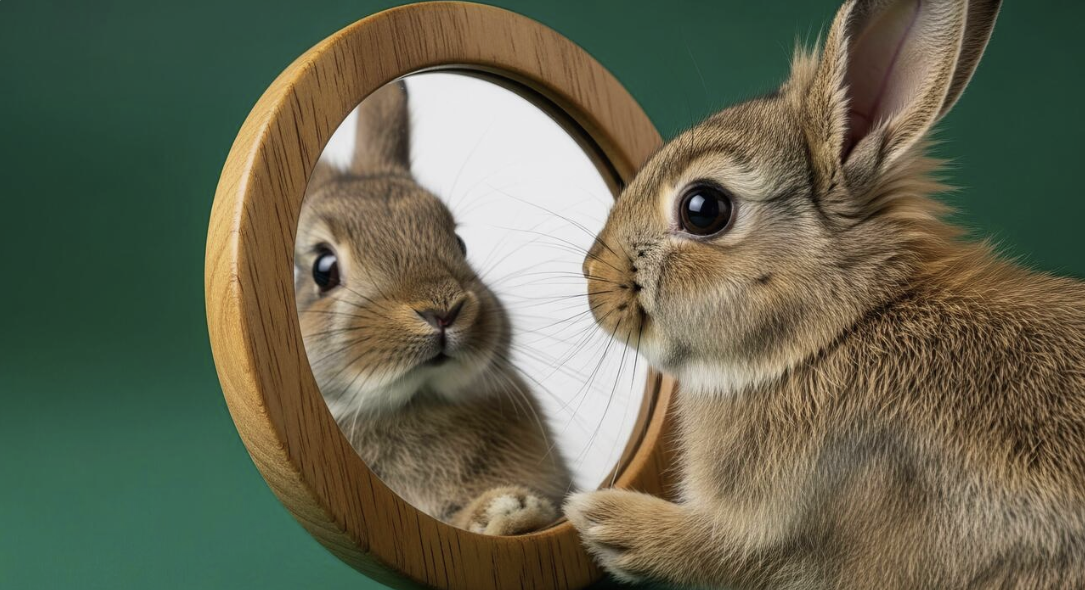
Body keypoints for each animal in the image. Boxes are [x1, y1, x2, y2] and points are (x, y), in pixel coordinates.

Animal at [294, 81, 572, 536]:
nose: (443, 311)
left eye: (460, 244)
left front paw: (509, 510)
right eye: (323, 269)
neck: (415, 403)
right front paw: (501, 510)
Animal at [564, 0, 1085, 587]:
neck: (834, 333)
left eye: (703, 209)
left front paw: (603, 519)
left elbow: (719, 551)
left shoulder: (785, 537)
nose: (591, 275)